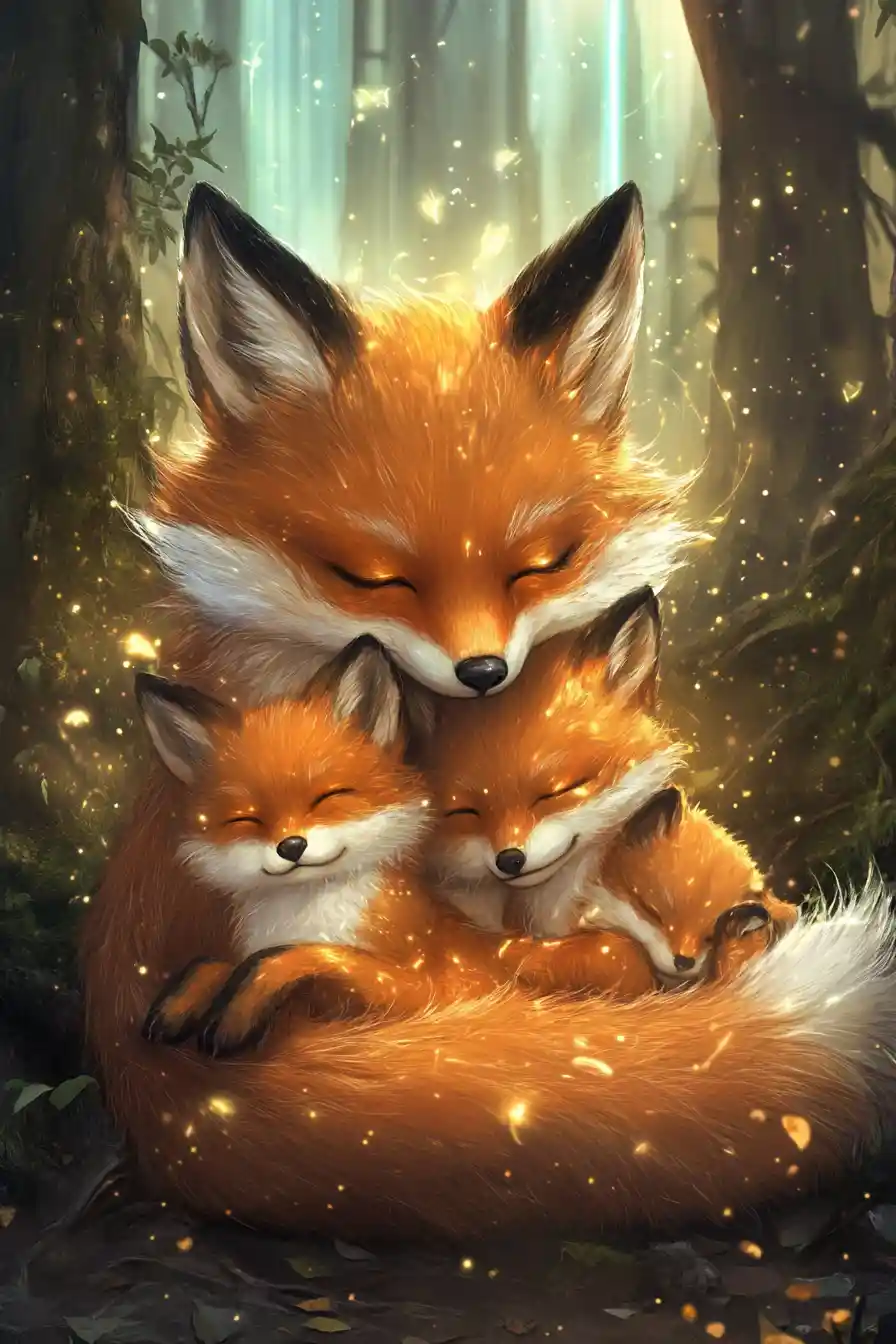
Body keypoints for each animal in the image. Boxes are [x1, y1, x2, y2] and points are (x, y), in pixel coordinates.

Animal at [131, 637, 658, 1059]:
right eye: (246, 819)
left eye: (330, 797)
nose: (292, 846)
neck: (310, 912)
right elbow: (215, 962)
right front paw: (186, 999)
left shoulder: (428, 992)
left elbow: (309, 957)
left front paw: (237, 1009)